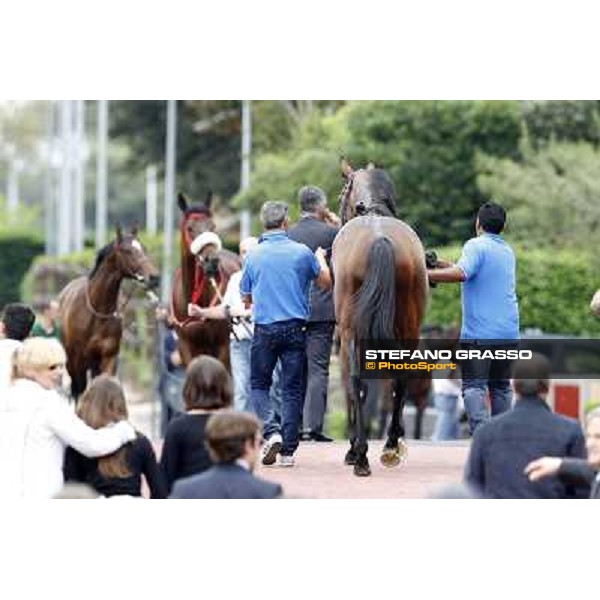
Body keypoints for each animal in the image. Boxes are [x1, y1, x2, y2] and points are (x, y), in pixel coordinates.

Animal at [58, 225, 159, 398]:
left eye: (144, 248)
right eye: (127, 250)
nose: (154, 277)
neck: (96, 313)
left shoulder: (108, 357)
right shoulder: (78, 361)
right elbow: (80, 391)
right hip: (72, 362)